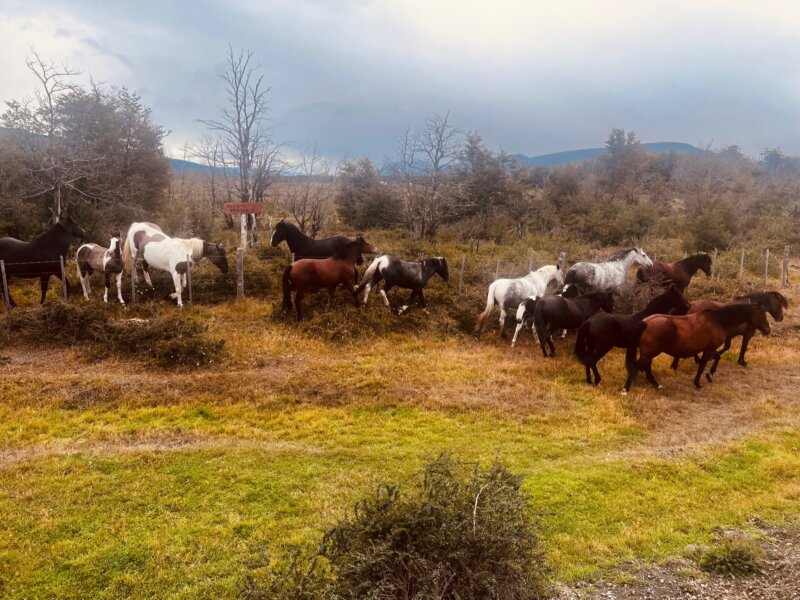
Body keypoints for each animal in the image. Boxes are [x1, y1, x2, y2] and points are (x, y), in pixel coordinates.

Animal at [620, 302, 772, 392]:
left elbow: (717, 357)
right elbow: (704, 364)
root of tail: (645, 322)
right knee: (637, 366)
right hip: (648, 354)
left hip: (648, 354)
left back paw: (655, 385)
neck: (718, 320)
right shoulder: (709, 349)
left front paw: (710, 375)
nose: (768, 329)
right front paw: (699, 382)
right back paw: (626, 389)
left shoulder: (710, 348)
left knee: (645, 367)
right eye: (762, 314)